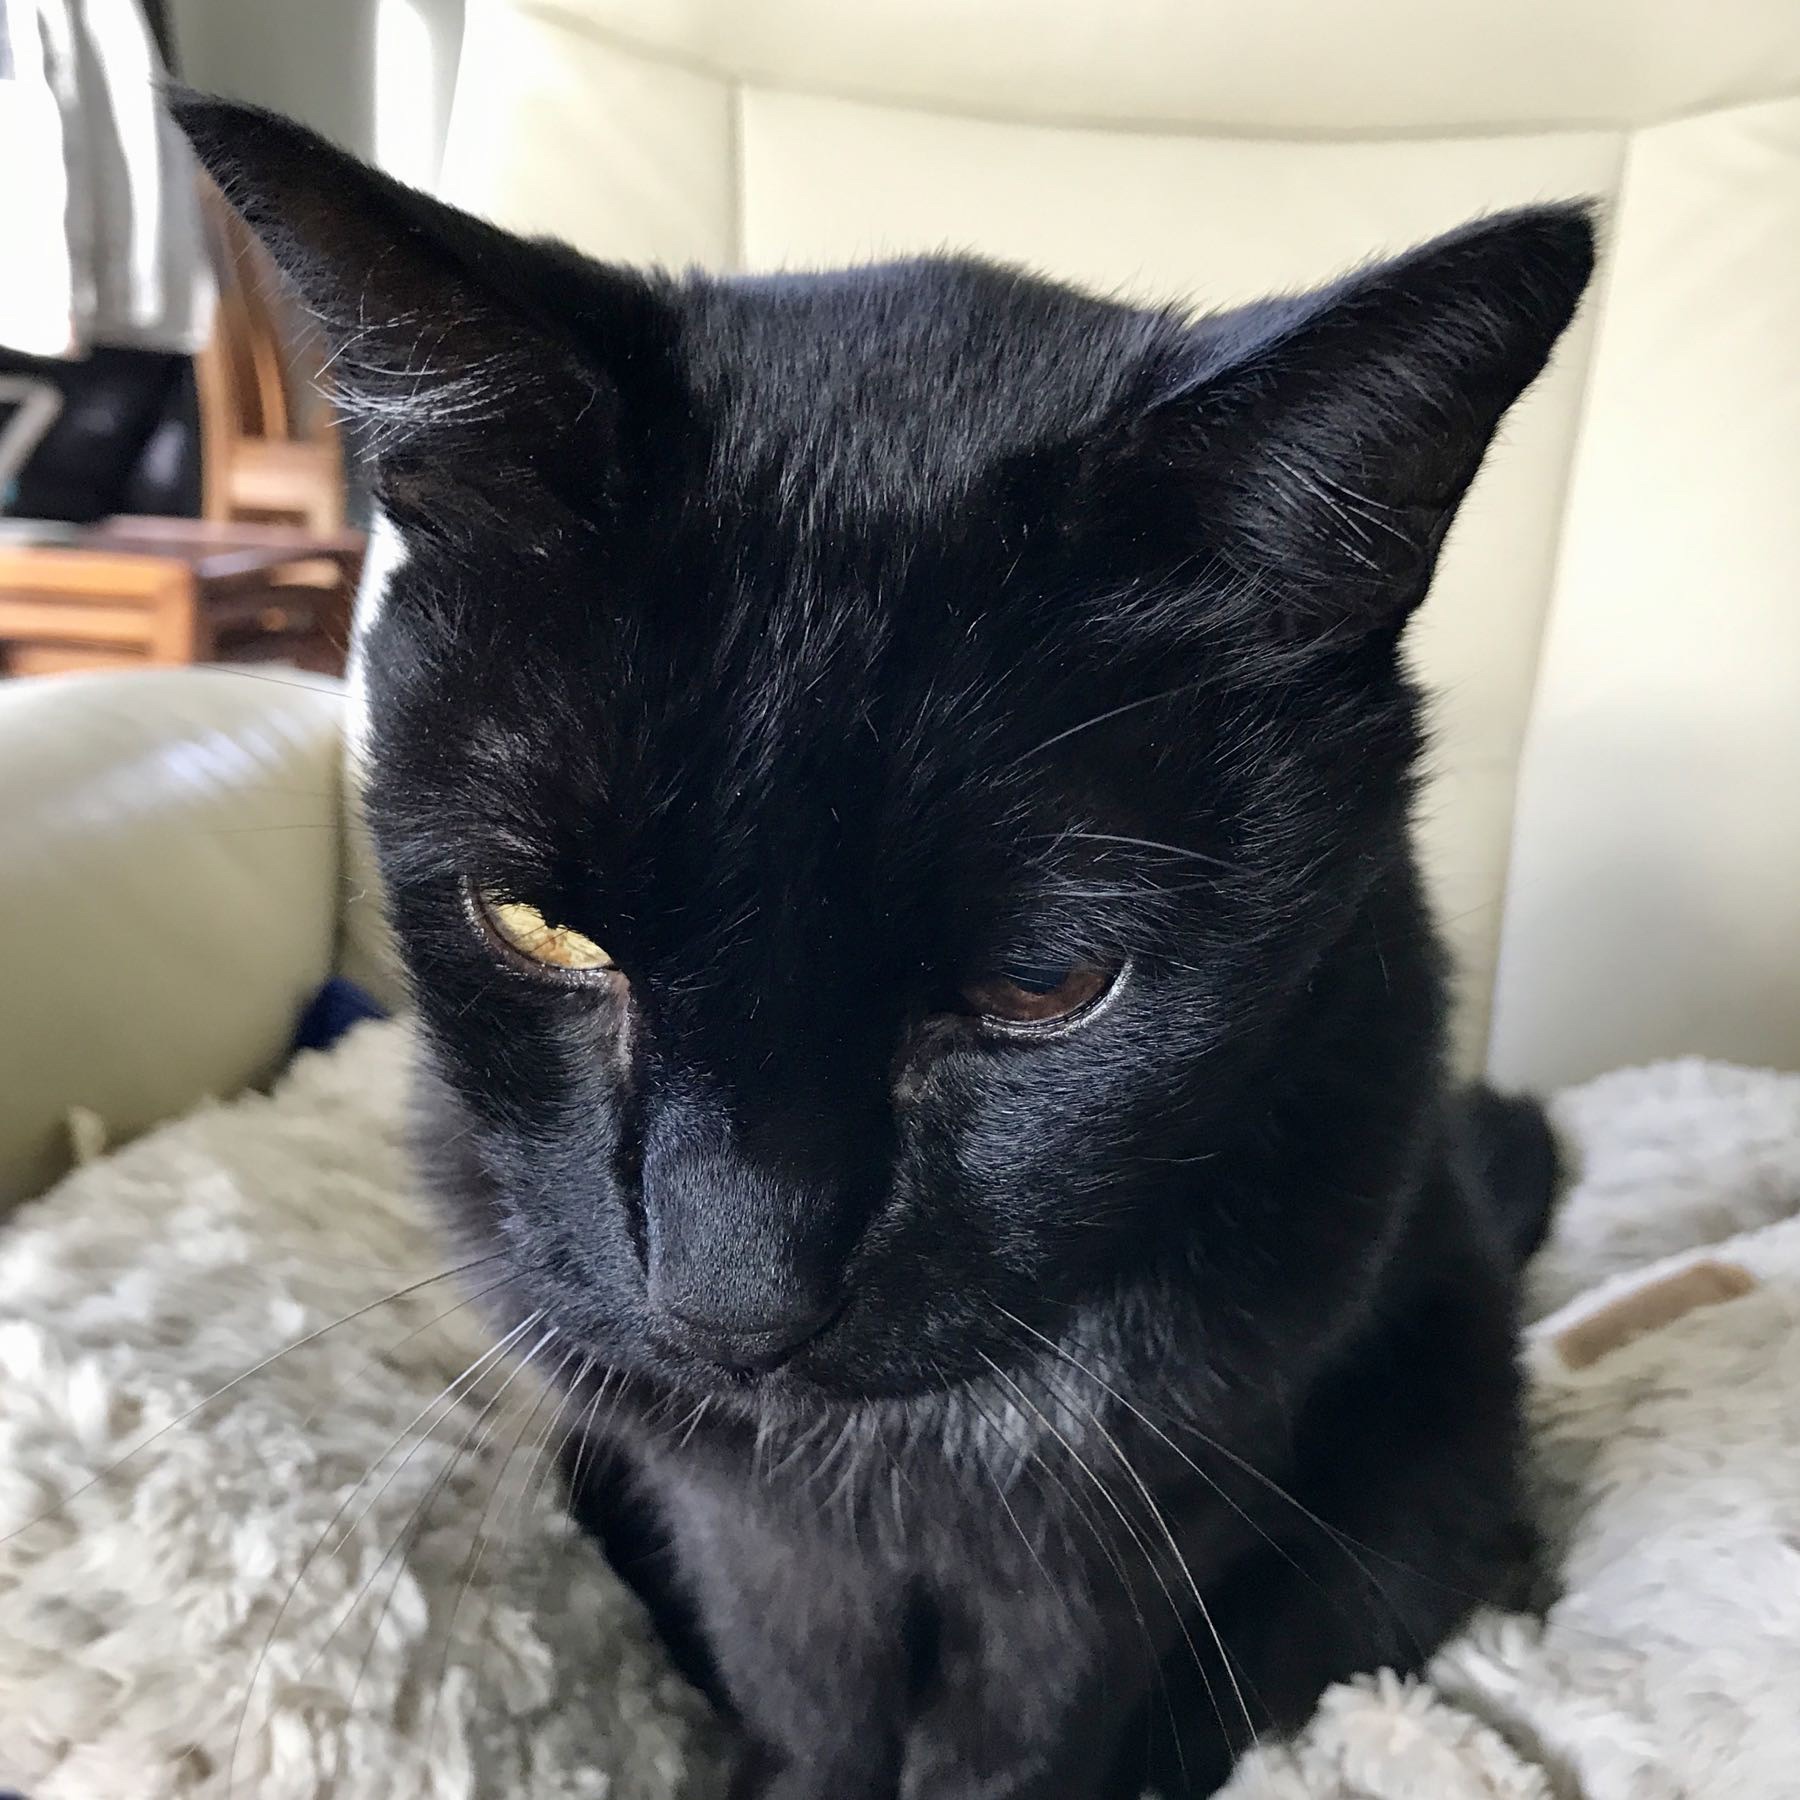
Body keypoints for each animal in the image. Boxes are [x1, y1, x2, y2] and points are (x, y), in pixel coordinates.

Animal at [175, 94, 1591, 1800]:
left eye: (1046, 989)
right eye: (540, 926)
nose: (731, 1300)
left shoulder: (1130, 1515)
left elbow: (1027, 1728)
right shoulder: (741, 1509)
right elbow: (805, 1687)